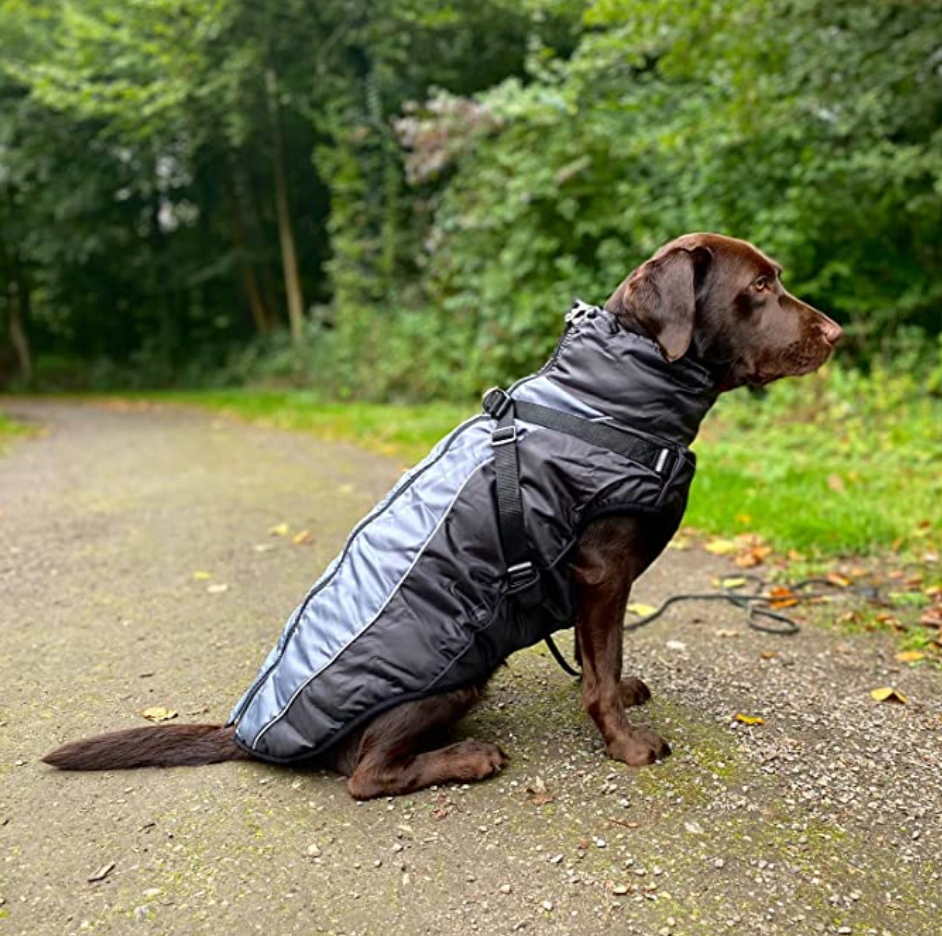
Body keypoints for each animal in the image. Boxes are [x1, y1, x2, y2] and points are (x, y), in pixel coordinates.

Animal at [44, 234, 844, 796]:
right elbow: (601, 662)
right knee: (364, 776)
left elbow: (597, 658)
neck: (611, 393)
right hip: (457, 676)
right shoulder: (601, 571)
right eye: (761, 286)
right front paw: (626, 742)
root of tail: (249, 735)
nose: (838, 333)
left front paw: (622, 694)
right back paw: (467, 758)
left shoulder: (588, 583)